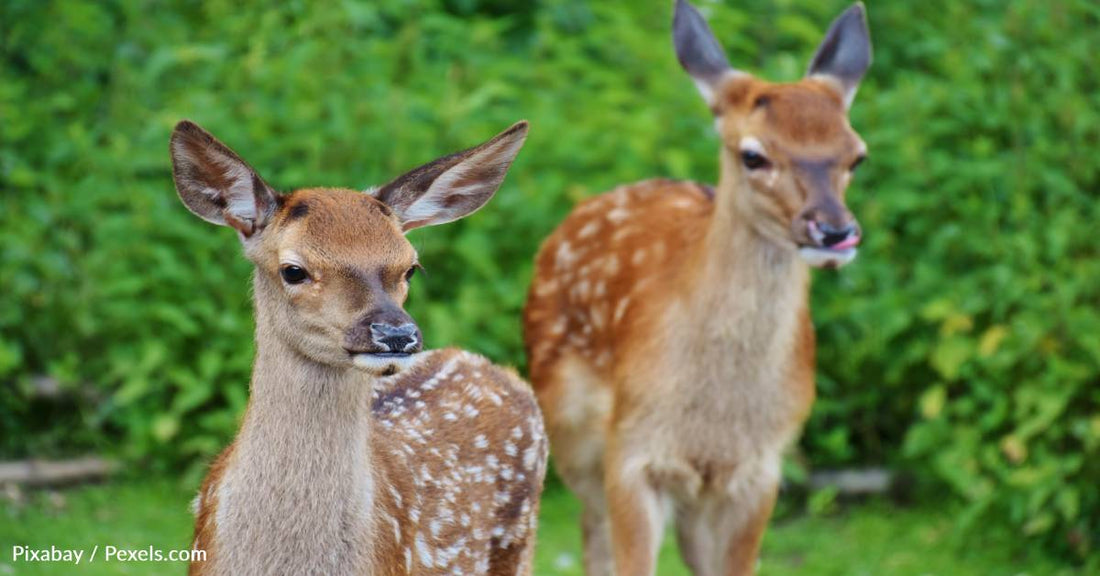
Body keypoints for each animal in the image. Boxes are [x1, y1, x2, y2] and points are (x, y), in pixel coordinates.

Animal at [523, 2, 875, 571]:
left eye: (856, 155)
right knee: (591, 532)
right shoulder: (632, 450)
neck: (714, 418)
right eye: (753, 155)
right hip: (571, 431)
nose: (835, 230)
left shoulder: (760, 467)